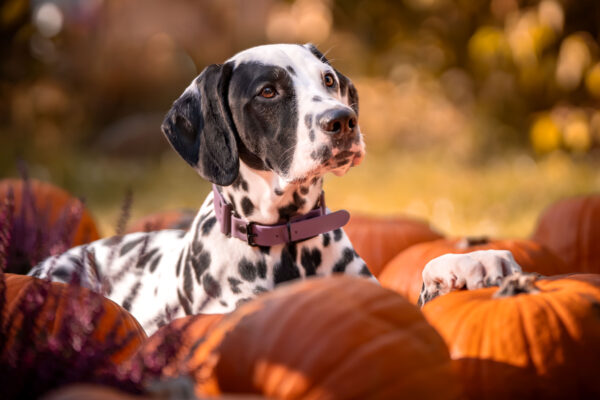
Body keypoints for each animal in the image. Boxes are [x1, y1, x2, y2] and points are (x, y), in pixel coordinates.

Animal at [29, 43, 520, 334]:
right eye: (268, 92)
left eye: (327, 80)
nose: (343, 120)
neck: (287, 239)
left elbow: (425, 275)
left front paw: (473, 261)